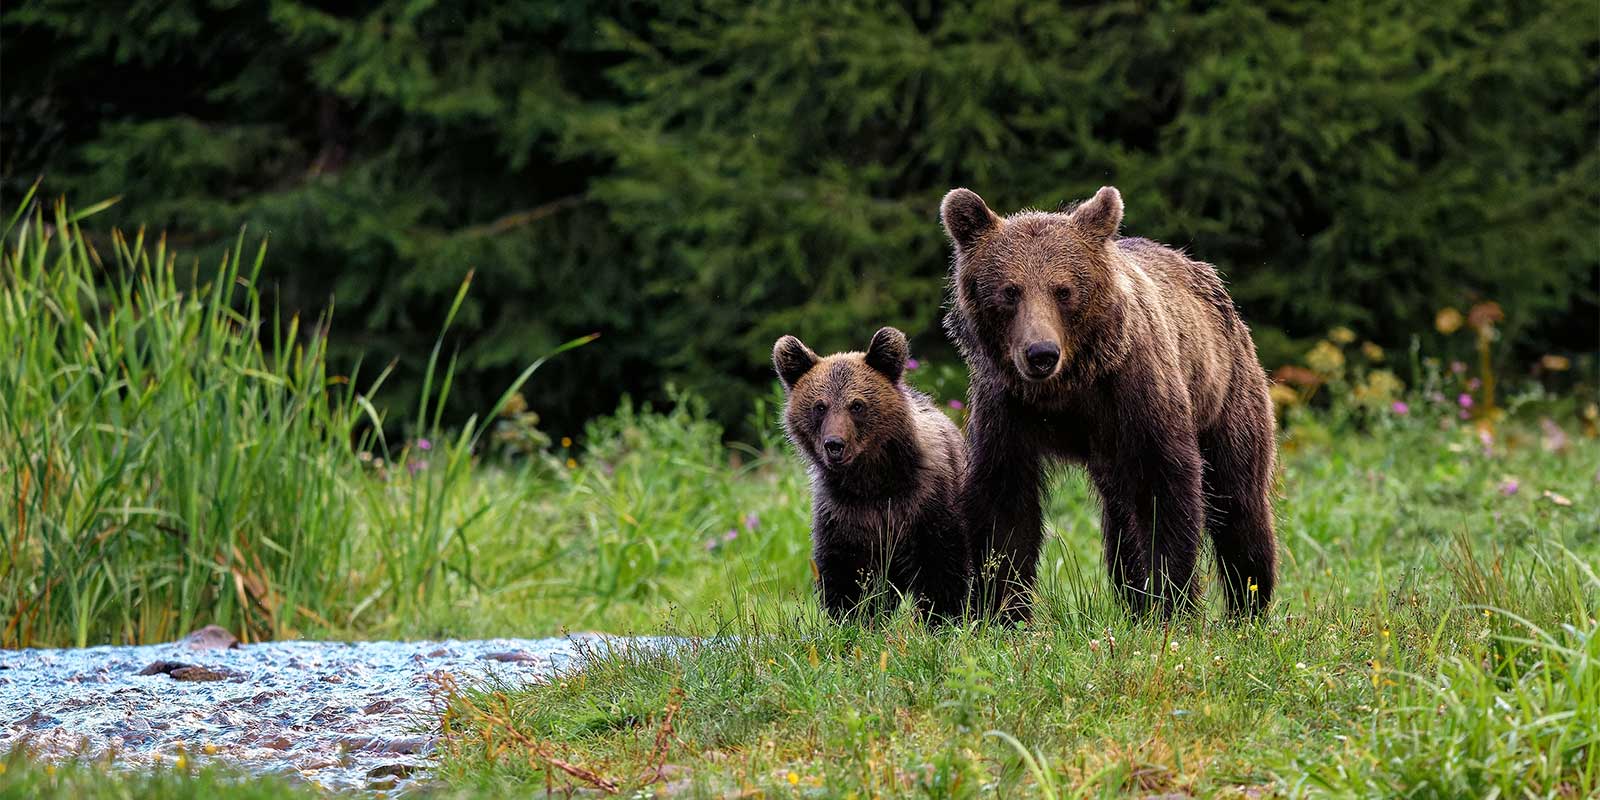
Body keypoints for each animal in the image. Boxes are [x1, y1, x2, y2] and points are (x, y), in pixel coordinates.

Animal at [773, 326, 970, 623]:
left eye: (856, 405)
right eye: (820, 406)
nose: (834, 444)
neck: (872, 481)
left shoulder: (927, 501)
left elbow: (940, 566)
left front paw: (940, 618)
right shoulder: (841, 512)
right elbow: (844, 573)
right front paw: (851, 618)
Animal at [940, 185, 1278, 621]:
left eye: (1063, 290)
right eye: (1010, 291)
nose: (1041, 353)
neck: (1069, 388)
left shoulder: (1135, 395)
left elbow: (1164, 492)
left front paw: (1171, 603)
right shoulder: (1007, 408)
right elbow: (1004, 504)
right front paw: (1001, 610)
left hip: (1226, 393)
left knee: (1239, 501)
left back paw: (1248, 607)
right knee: (1120, 524)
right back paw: (1134, 602)